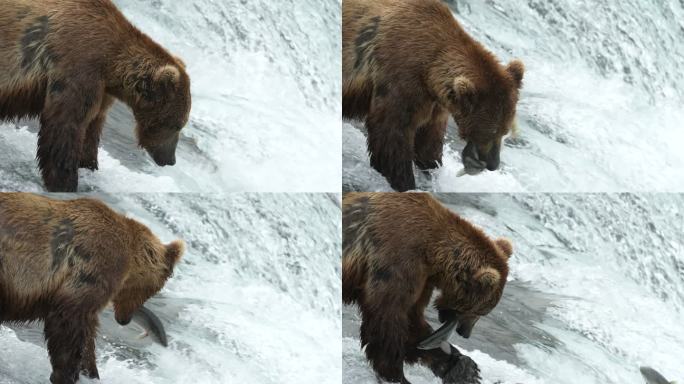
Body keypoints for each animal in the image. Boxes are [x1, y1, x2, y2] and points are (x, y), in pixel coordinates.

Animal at [0, 0, 192, 192]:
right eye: (176, 125)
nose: (171, 160)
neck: (111, 66)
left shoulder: (102, 91)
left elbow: (92, 127)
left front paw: (88, 164)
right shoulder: (78, 69)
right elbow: (65, 127)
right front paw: (65, 182)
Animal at [0, 194, 184, 382]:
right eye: (153, 289)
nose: (125, 319)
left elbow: (87, 334)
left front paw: (89, 371)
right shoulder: (94, 267)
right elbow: (70, 323)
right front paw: (66, 374)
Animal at [342, 0, 524, 192]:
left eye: (505, 131)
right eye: (491, 131)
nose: (493, 164)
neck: (429, 72)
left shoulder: (435, 105)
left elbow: (429, 143)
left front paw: (432, 170)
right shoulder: (400, 82)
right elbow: (391, 137)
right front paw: (405, 183)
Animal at [344, 194, 510, 382]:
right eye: (481, 312)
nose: (465, 333)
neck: (433, 254)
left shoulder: (422, 281)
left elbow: (413, 321)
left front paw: (463, 367)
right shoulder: (397, 265)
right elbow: (387, 318)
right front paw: (396, 375)